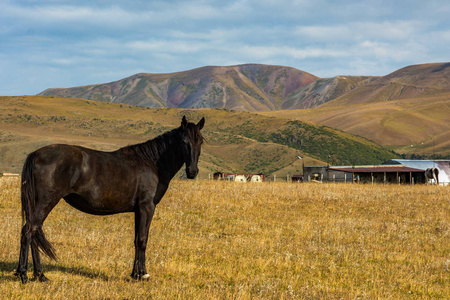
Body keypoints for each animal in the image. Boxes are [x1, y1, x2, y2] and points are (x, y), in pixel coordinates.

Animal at [15, 115, 205, 284]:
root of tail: (36, 154)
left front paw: (135, 274)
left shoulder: (138, 210)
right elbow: (143, 239)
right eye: (183, 141)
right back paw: (23, 274)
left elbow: (136, 239)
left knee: (34, 232)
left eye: (201, 141)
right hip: (46, 202)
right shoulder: (147, 207)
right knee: (29, 231)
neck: (151, 163)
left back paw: (40, 276)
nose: (192, 172)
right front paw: (143, 274)